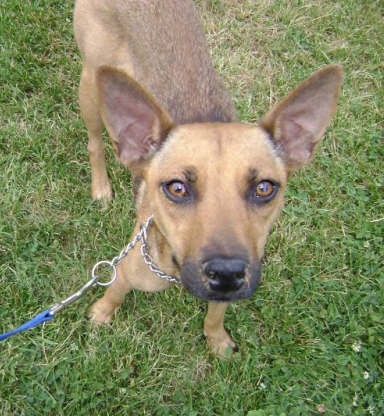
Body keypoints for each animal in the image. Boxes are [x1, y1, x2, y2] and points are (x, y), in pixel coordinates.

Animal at [73, 0, 342, 358]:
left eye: (264, 188)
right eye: (177, 188)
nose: (227, 274)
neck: (174, 269)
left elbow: (216, 314)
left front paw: (217, 339)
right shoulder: (126, 270)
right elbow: (114, 292)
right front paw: (102, 313)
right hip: (91, 84)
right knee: (94, 142)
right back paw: (101, 187)